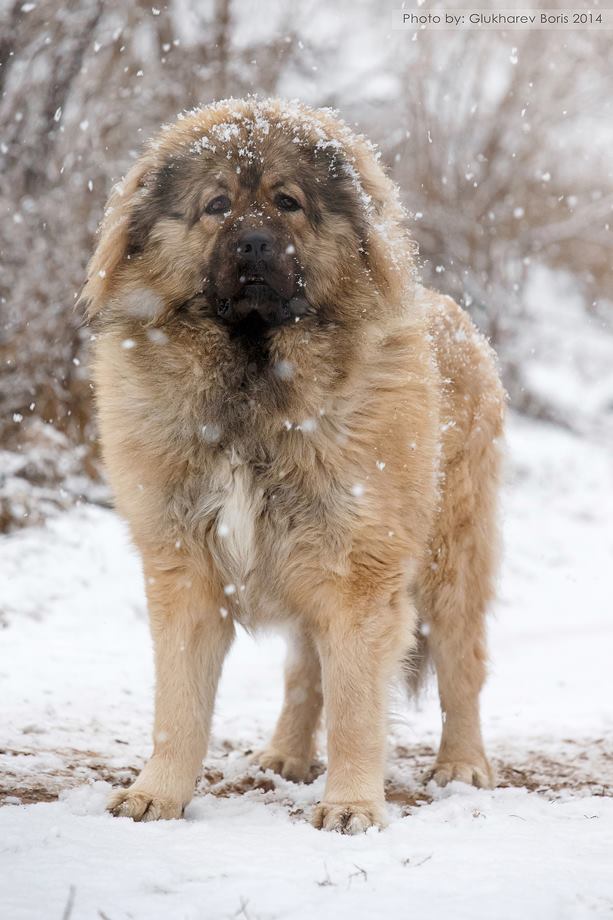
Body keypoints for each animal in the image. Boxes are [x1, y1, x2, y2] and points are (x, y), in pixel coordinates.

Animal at [81, 97, 502, 832]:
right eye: (217, 204)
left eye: (288, 201)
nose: (253, 243)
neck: (255, 392)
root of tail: (460, 317)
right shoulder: (185, 570)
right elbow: (178, 708)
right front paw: (157, 792)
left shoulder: (360, 575)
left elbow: (357, 707)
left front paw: (352, 804)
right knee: (305, 671)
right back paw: (287, 753)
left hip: (449, 561)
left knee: (460, 667)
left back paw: (461, 763)